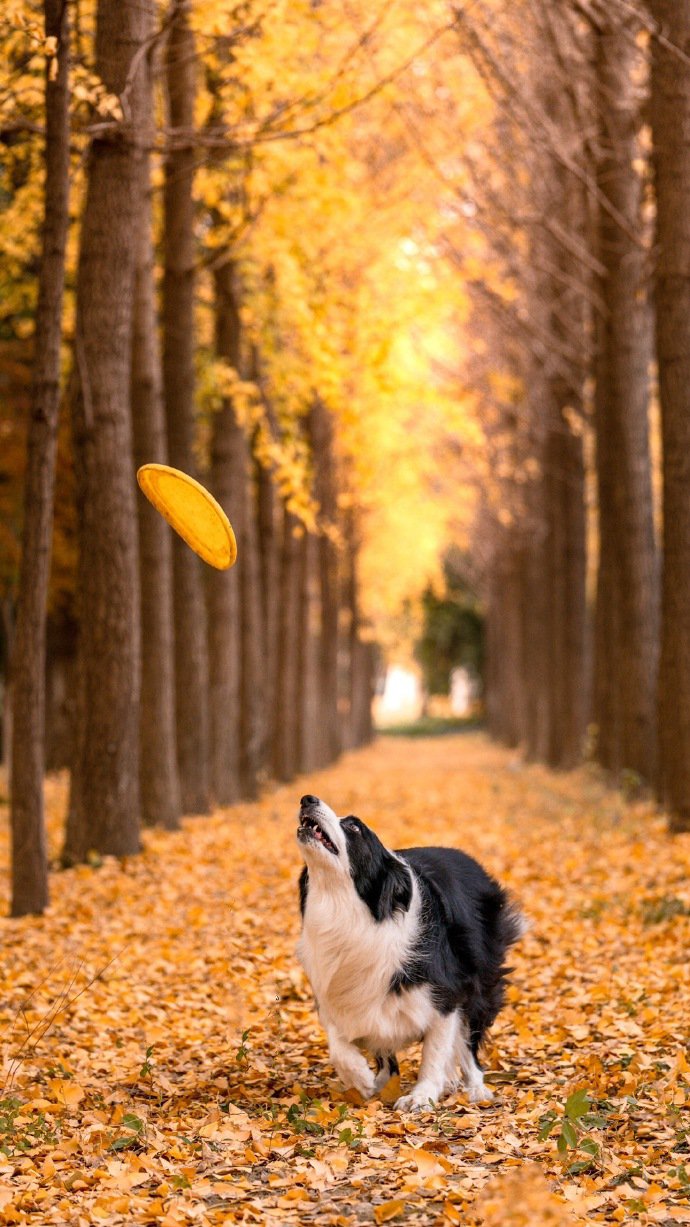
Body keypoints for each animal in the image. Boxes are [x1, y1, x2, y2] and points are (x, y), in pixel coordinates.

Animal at [292, 795, 523, 1114]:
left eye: (354, 826)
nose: (307, 799)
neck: (351, 910)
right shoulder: (334, 989)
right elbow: (338, 1041)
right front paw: (361, 1078)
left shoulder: (448, 994)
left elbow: (435, 1051)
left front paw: (421, 1096)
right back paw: (382, 1082)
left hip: (481, 983)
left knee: (470, 1042)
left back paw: (477, 1089)